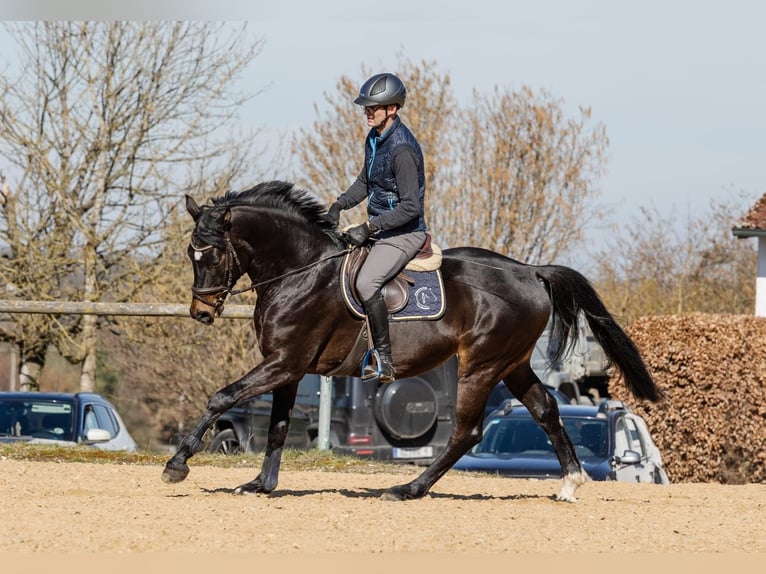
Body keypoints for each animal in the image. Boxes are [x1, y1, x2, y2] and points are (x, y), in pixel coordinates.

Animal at [162, 180, 663, 502]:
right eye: (190, 253)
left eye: (213, 254)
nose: (201, 312)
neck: (300, 270)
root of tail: (530, 272)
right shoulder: (288, 366)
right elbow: (279, 425)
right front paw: (260, 485)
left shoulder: (285, 361)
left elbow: (221, 397)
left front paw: (178, 464)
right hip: (513, 364)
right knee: (545, 410)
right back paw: (570, 484)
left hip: (481, 364)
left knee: (468, 431)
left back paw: (408, 489)